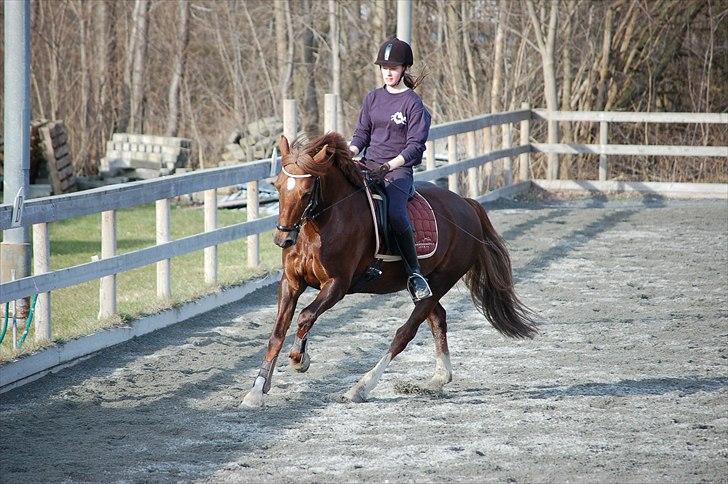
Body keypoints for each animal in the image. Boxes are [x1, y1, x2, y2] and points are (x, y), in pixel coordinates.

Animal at [242, 130, 536, 406]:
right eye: (278, 187)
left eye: (305, 192)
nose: (283, 239)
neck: (321, 226)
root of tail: (467, 205)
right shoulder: (291, 282)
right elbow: (276, 333)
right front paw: (256, 391)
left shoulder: (337, 285)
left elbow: (305, 316)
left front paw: (299, 359)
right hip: (427, 285)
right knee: (437, 318)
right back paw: (439, 378)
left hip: (442, 280)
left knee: (405, 333)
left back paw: (360, 388)